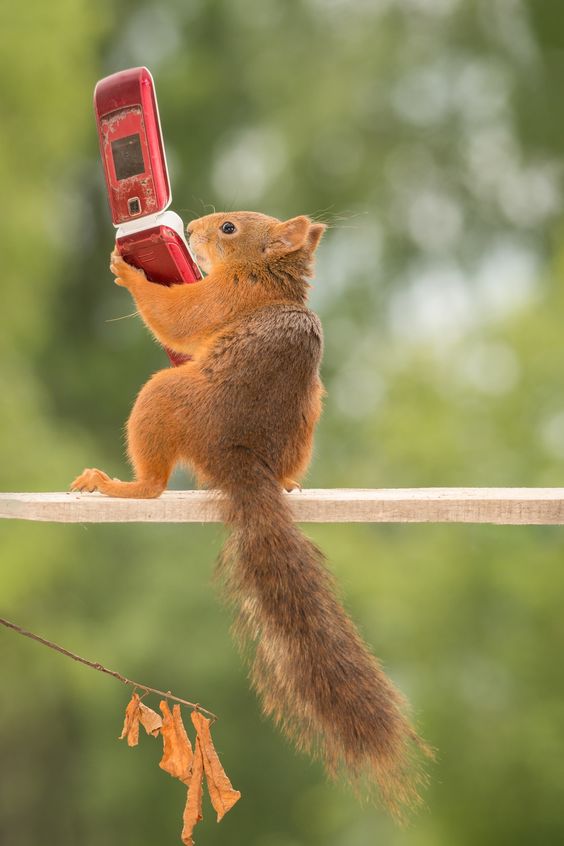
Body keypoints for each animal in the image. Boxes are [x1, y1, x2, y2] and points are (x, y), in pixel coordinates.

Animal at [70, 211, 430, 815]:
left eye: (229, 228)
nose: (191, 227)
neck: (267, 278)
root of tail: (236, 458)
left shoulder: (225, 296)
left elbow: (179, 318)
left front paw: (130, 270)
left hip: (165, 398)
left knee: (154, 482)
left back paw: (119, 485)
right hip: (305, 426)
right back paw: (288, 484)